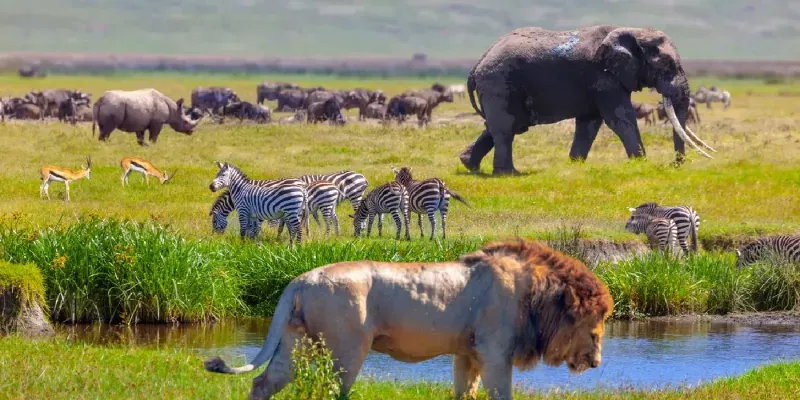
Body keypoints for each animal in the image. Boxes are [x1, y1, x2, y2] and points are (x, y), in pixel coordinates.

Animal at [204, 239, 613, 400]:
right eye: (595, 333)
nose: (597, 363)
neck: (537, 296)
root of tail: (300, 279)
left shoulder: (468, 354)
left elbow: (465, 392)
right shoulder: (495, 352)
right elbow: (502, 394)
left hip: (296, 341)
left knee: (263, 383)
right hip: (347, 349)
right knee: (333, 390)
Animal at [460, 25, 716, 175]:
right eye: (666, 65)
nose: (674, 164)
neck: (631, 32)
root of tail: (477, 64)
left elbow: (589, 123)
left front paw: (574, 166)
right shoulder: (603, 77)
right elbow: (620, 118)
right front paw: (640, 164)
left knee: (503, 126)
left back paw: (469, 165)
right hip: (498, 82)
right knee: (506, 128)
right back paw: (508, 174)